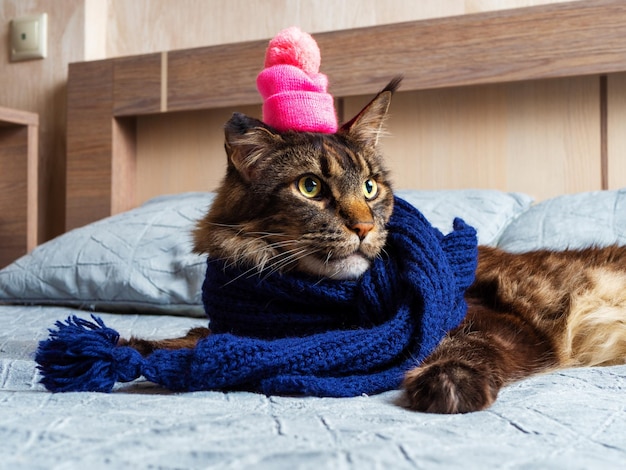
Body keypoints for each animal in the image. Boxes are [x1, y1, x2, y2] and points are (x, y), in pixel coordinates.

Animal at [120, 79, 624, 414]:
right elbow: (189, 338)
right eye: (310, 187)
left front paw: (446, 384)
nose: (363, 227)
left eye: (369, 187)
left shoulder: (501, 320)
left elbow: (465, 344)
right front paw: (133, 345)